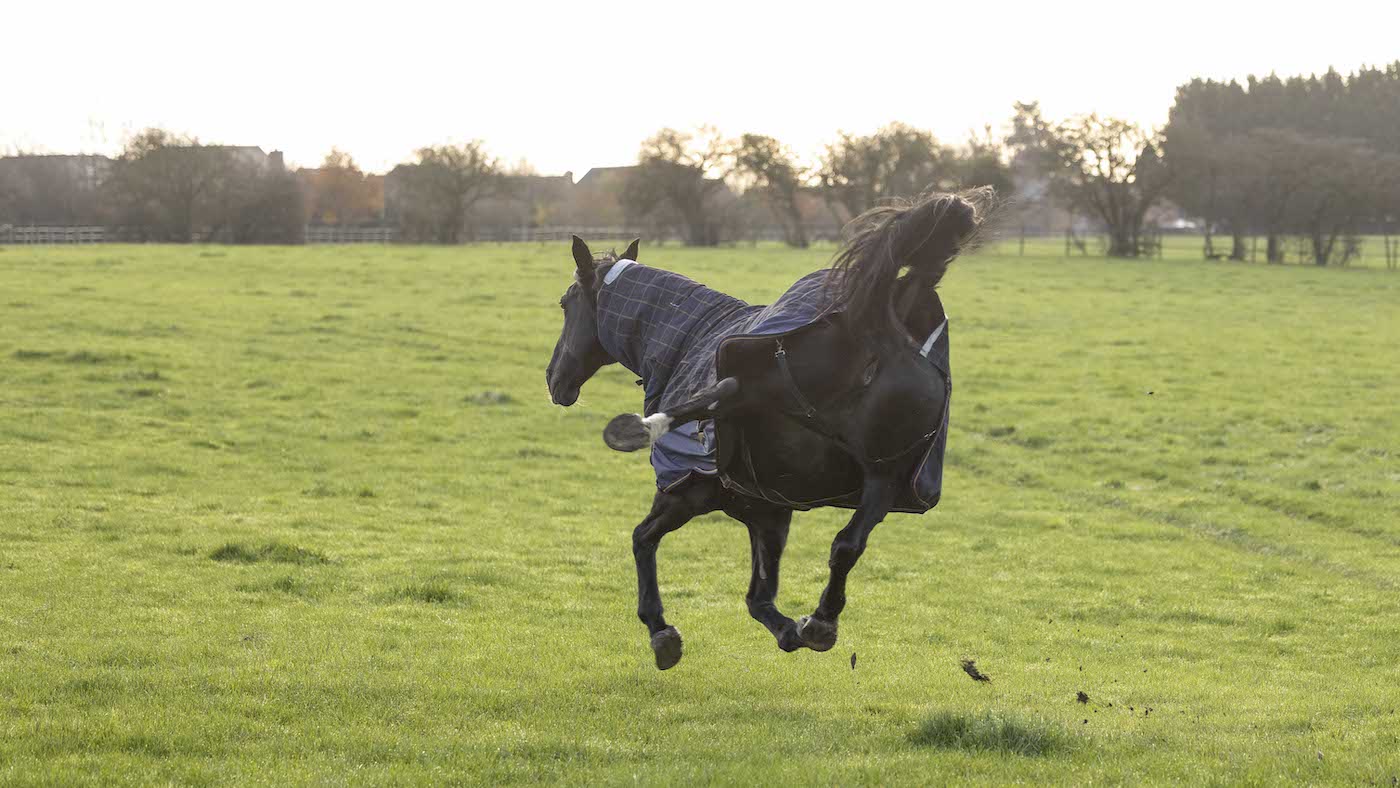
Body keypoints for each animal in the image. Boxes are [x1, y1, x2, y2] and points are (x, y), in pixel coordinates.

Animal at [545, 189, 987, 670]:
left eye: (566, 303)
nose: (554, 379)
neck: (687, 338)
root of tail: (879, 315)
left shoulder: (684, 493)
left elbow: (642, 539)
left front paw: (660, 630)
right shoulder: (769, 510)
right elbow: (760, 599)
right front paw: (794, 629)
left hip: (771, 385)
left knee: (728, 389)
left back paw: (635, 429)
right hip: (885, 474)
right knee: (848, 544)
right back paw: (822, 621)